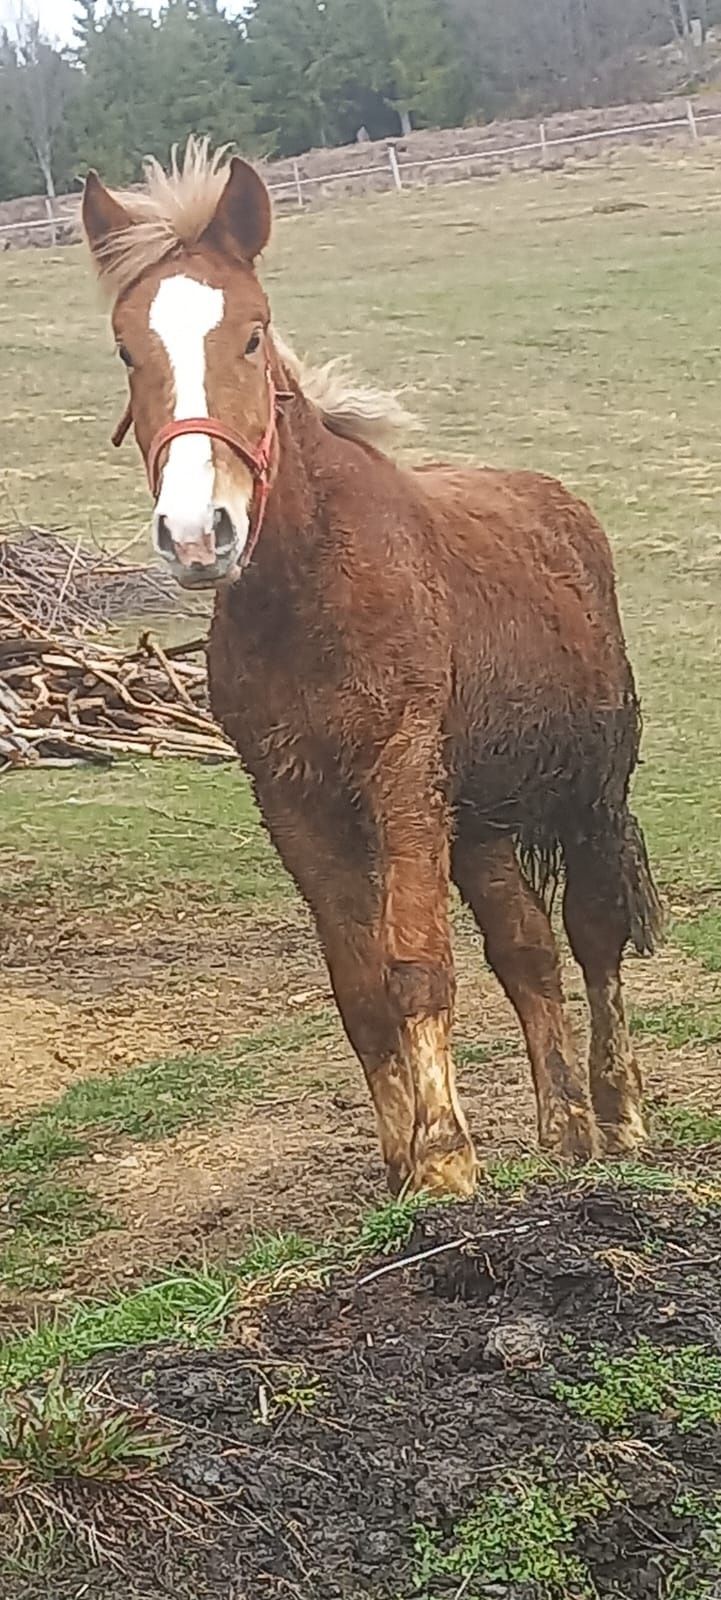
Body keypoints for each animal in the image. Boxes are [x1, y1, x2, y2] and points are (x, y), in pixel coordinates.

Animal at [81, 140, 661, 1203]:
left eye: (254, 336)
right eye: (127, 351)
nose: (197, 536)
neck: (312, 589)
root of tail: (558, 504)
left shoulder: (397, 776)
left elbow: (414, 961)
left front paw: (444, 1160)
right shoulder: (292, 796)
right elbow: (357, 983)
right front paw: (401, 1162)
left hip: (586, 797)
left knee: (593, 937)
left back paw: (618, 1118)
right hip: (476, 817)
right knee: (526, 950)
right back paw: (561, 1131)